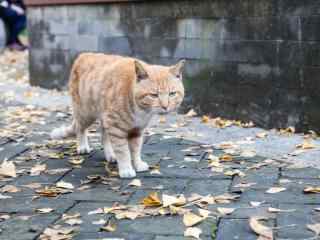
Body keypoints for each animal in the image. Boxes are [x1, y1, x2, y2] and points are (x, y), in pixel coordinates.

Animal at [50, 54, 185, 178]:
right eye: (154, 95)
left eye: (172, 94)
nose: (165, 106)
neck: (141, 111)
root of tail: (83, 55)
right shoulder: (116, 127)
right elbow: (123, 151)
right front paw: (126, 169)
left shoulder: (136, 130)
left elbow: (135, 150)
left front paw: (137, 164)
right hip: (86, 114)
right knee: (80, 128)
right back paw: (83, 146)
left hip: (104, 118)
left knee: (104, 136)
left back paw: (110, 155)